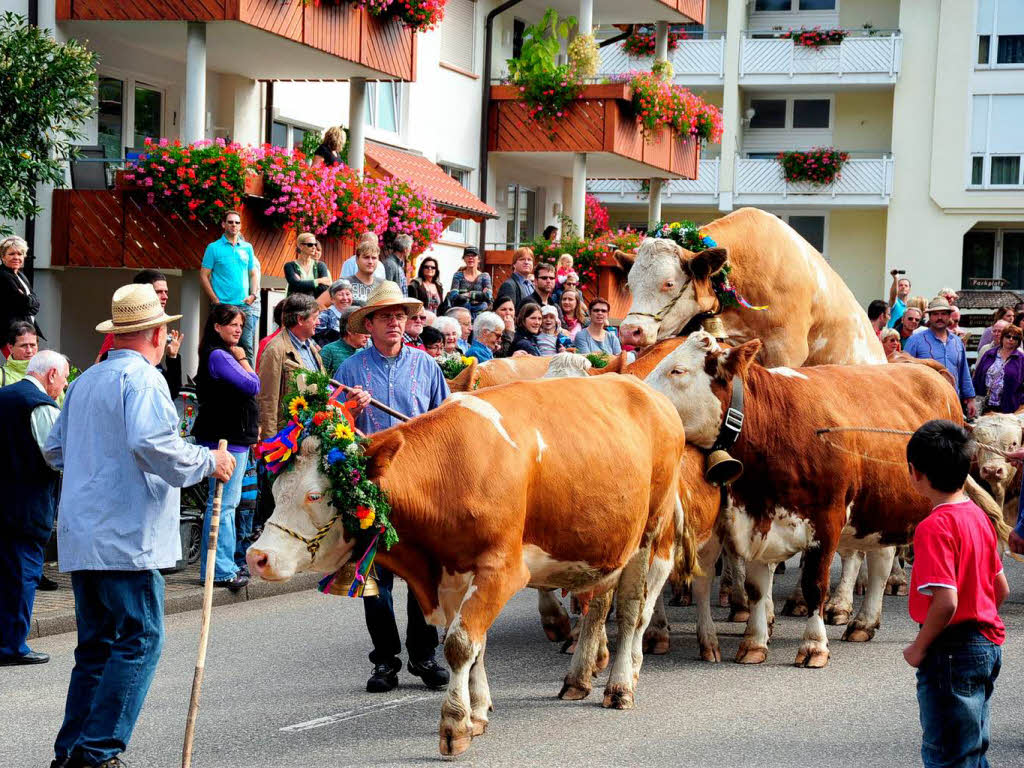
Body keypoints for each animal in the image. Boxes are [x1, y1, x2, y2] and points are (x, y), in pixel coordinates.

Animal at [243, 376, 684, 757]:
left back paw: (621, 685)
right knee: (598, 604)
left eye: (316, 495)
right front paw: (478, 712)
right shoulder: (453, 574)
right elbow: (476, 644)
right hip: (607, 542)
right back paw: (579, 678)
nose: (256, 557)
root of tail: (648, 391)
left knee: (631, 611)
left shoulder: (501, 570)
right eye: (275, 490)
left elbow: (459, 644)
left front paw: (454, 726)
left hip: (650, 530)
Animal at [643, 335, 1003, 667]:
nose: (639, 397)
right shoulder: (756, 520)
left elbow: (815, 584)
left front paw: (814, 646)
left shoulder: (827, 522)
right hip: (881, 506)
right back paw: (863, 623)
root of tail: (924, 368)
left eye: (677, 370)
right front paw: (755, 642)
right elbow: (758, 587)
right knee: (881, 561)